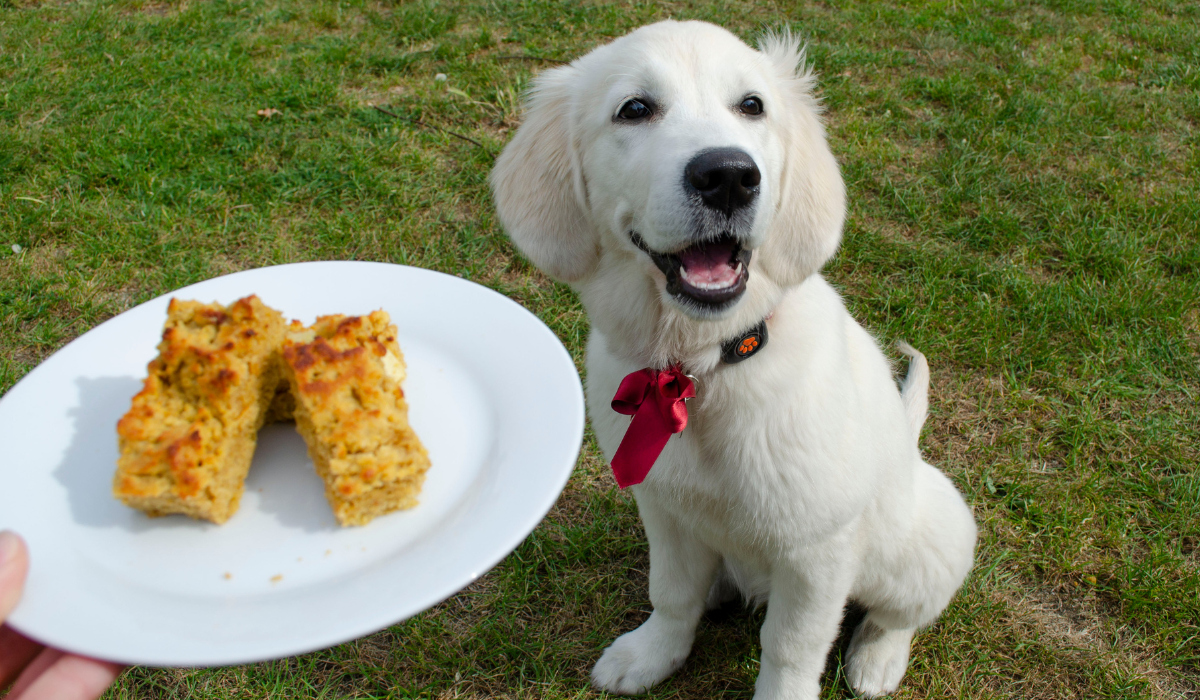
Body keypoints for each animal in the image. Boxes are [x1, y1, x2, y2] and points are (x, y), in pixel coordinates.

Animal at [487, 20, 974, 700]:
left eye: (752, 106)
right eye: (634, 109)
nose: (728, 176)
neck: (700, 370)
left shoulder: (817, 551)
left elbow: (791, 647)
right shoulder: (663, 506)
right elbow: (670, 593)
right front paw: (653, 655)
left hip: (926, 539)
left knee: (902, 610)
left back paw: (877, 660)